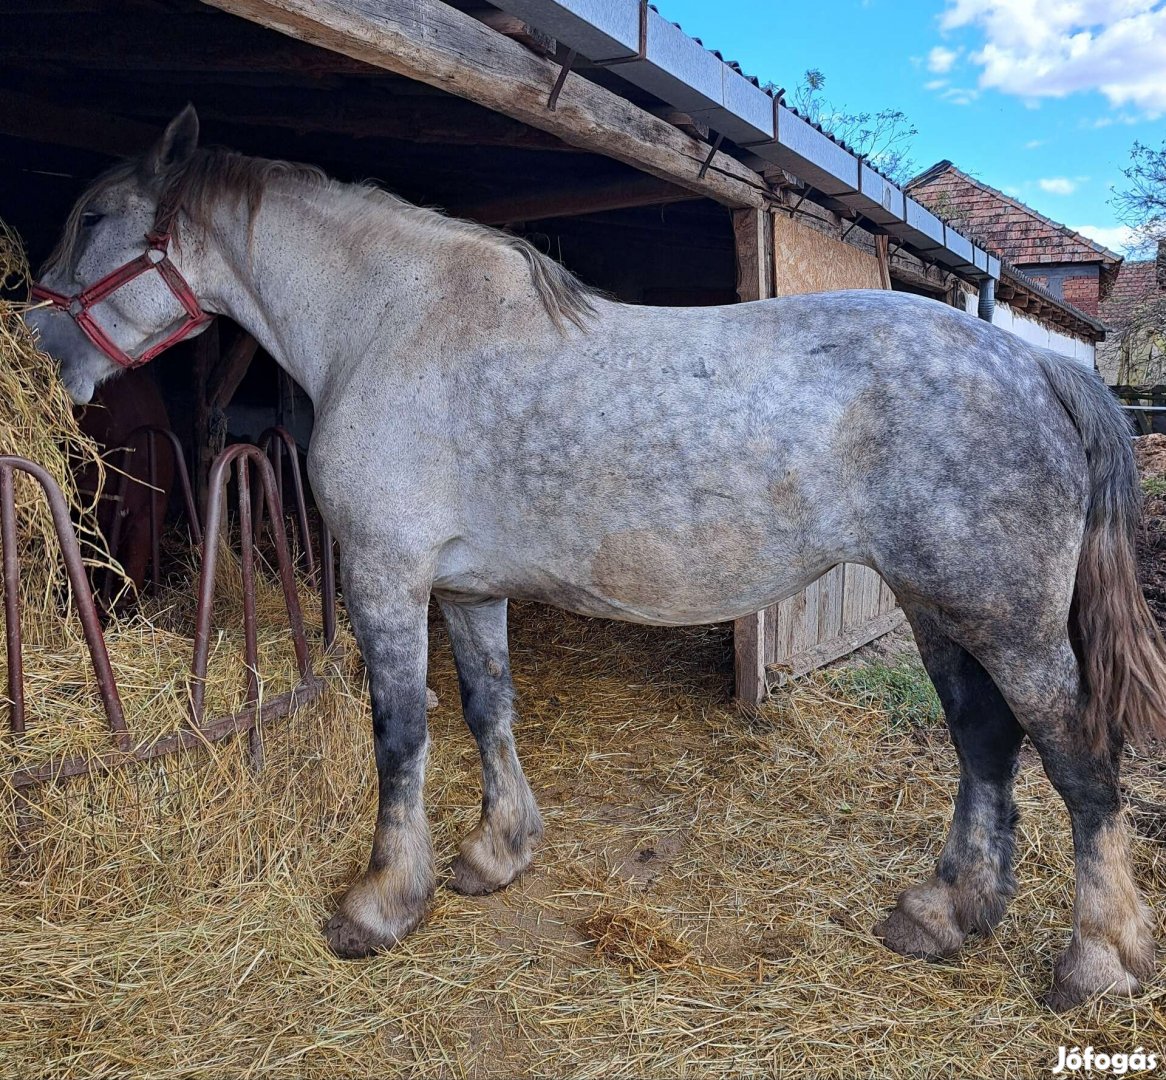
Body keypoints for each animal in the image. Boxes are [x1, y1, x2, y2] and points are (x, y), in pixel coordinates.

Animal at [27, 105, 1166, 1012]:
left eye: (93, 218)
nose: (38, 345)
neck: (389, 324)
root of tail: (1032, 363)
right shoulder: (466, 590)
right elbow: (487, 707)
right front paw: (496, 854)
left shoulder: (385, 575)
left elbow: (400, 735)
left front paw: (382, 904)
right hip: (940, 608)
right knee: (984, 743)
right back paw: (945, 913)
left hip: (1003, 617)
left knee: (1076, 759)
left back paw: (1095, 962)